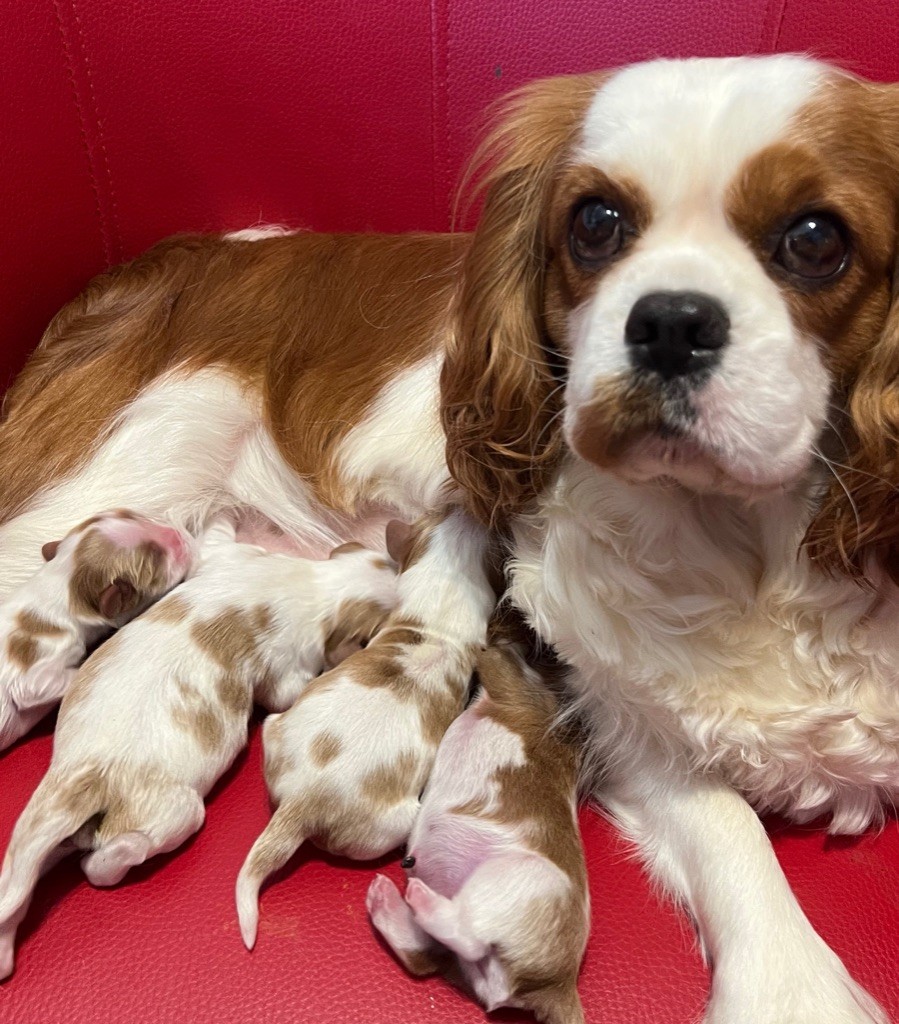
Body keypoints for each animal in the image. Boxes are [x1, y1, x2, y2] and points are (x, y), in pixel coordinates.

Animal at [0, 512, 195, 753]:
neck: (67, 587)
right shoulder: (40, 666)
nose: (178, 532)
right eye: (155, 560)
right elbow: (34, 687)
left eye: (132, 515)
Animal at [368, 643, 589, 1024]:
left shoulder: (507, 678)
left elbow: (490, 657)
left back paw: (418, 897)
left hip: (522, 878)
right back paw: (386, 901)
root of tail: (559, 986)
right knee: (429, 957)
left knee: (465, 933)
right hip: (472, 964)